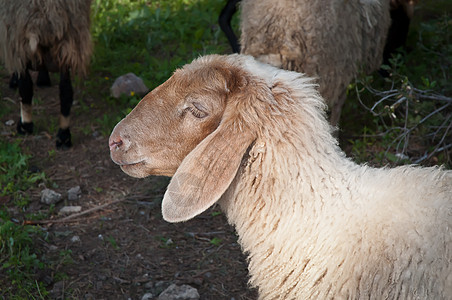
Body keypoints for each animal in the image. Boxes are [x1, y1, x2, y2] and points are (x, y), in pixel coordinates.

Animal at [0, 0, 93, 149]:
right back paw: (64, 135)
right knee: (66, 91)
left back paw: (25, 125)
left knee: (26, 87)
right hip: (69, 38)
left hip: (19, 32)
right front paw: (43, 77)